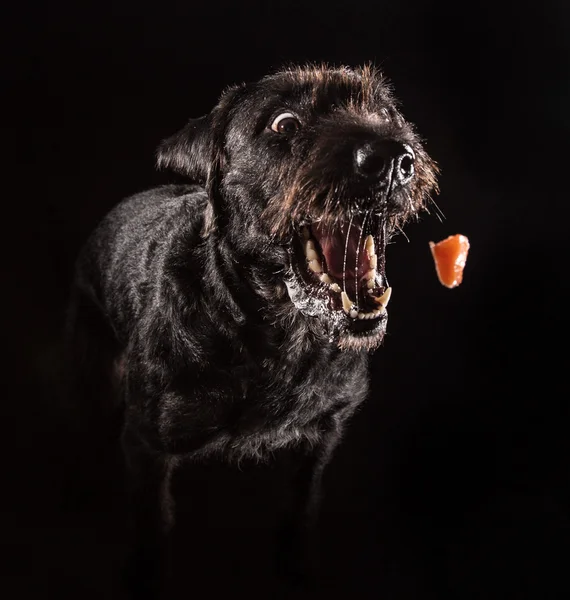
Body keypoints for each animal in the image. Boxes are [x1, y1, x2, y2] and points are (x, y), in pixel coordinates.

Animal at [65, 63, 434, 596]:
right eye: (284, 124)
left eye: (386, 113)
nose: (391, 159)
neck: (280, 338)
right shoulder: (145, 444)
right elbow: (153, 528)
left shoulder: (320, 438)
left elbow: (302, 508)